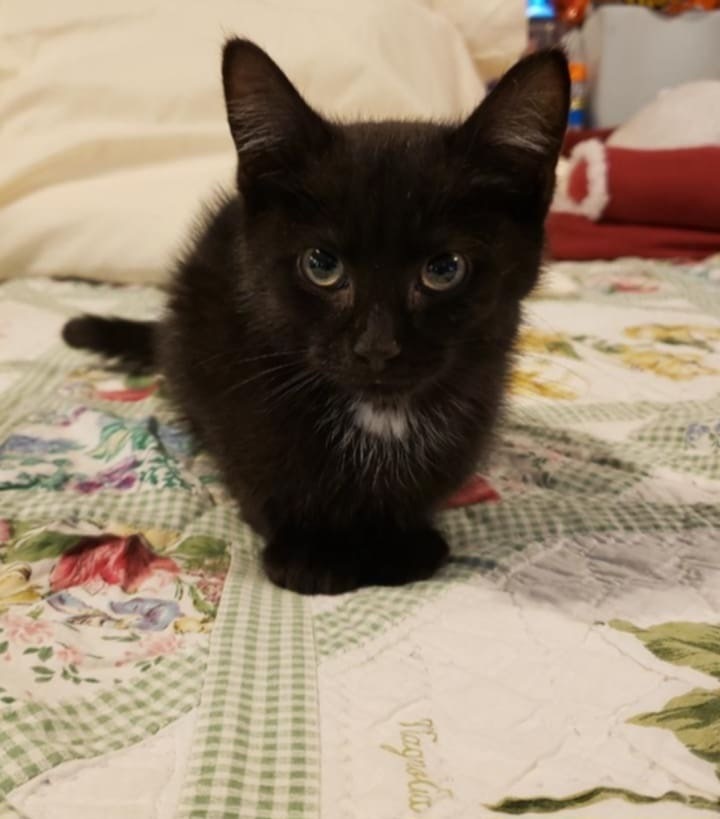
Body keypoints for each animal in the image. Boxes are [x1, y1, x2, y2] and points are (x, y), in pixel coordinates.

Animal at [63, 38, 568, 596]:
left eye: (444, 269)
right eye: (322, 265)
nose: (377, 346)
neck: (380, 415)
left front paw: (398, 540)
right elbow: (262, 474)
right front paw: (312, 550)